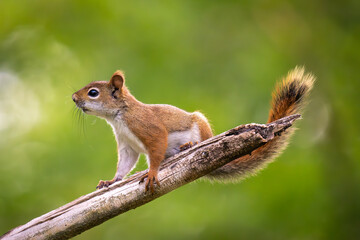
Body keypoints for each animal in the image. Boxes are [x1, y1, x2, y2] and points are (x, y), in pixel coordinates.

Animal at [71, 66, 314, 192]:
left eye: (93, 93)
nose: (73, 98)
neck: (119, 117)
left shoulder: (148, 128)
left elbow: (156, 148)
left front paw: (151, 173)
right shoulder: (126, 144)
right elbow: (124, 165)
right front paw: (112, 180)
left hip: (200, 124)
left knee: (200, 140)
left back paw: (190, 145)